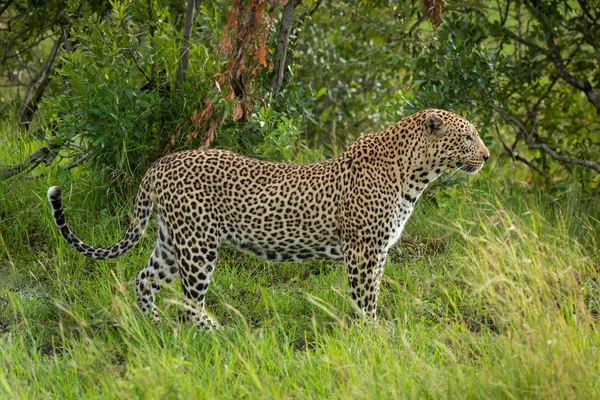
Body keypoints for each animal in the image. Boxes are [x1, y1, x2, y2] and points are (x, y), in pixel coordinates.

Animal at [47, 108, 488, 330]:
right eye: (467, 136)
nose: (485, 156)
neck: (415, 174)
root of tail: (161, 164)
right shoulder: (365, 250)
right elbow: (366, 297)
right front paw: (373, 334)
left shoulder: (375, 251)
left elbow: (370, 295)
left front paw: (373, 331)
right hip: (198, 247)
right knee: (188, 303)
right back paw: (216, 334)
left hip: (172, 243)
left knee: (144, 280)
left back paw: (156, 327)